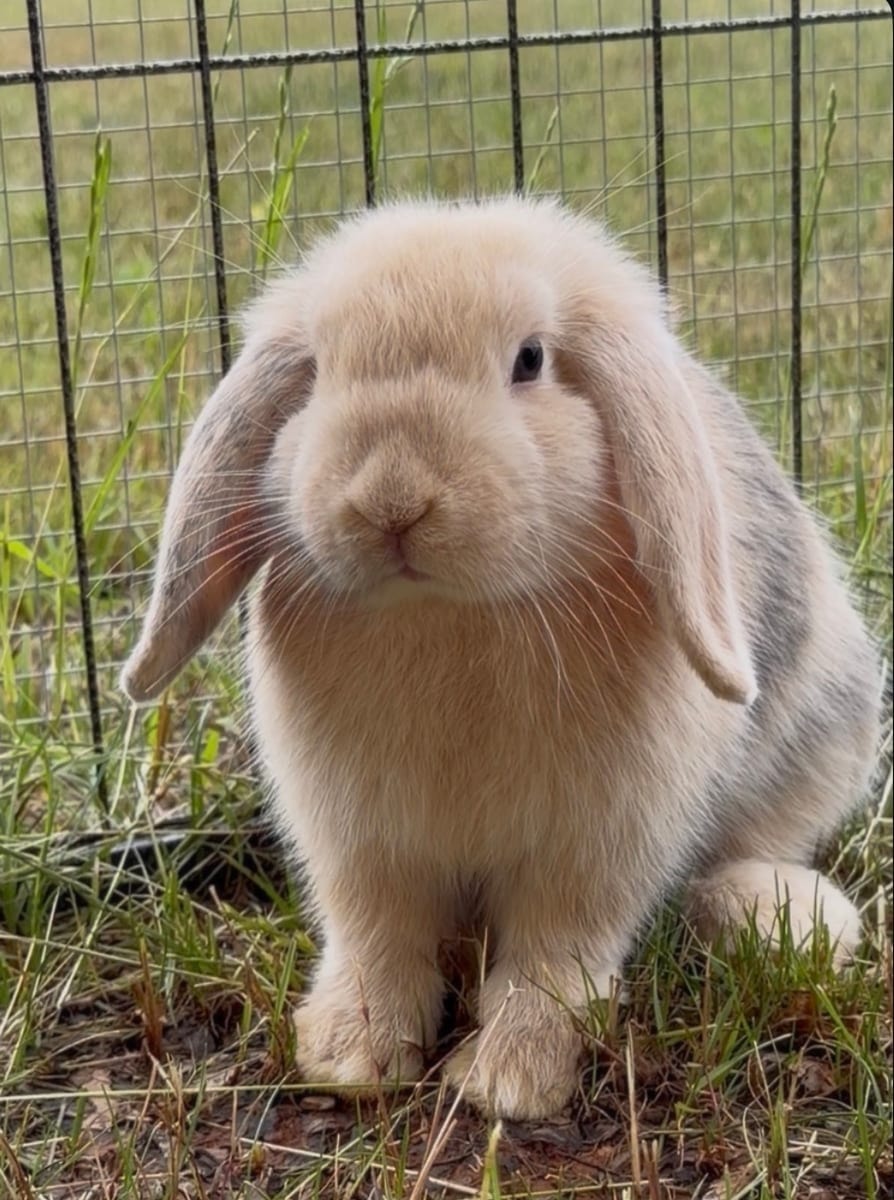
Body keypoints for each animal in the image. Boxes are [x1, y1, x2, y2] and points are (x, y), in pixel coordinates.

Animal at [122, 197, 880, 1120]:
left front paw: (509, 1085)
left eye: (530, 360)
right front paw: (349, 1059)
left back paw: (780, 919)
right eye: (320, 371)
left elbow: (555, 961)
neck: (451, 616)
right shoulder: (364, 846)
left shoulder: (593, 850)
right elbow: (378, 939)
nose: (392, 498)